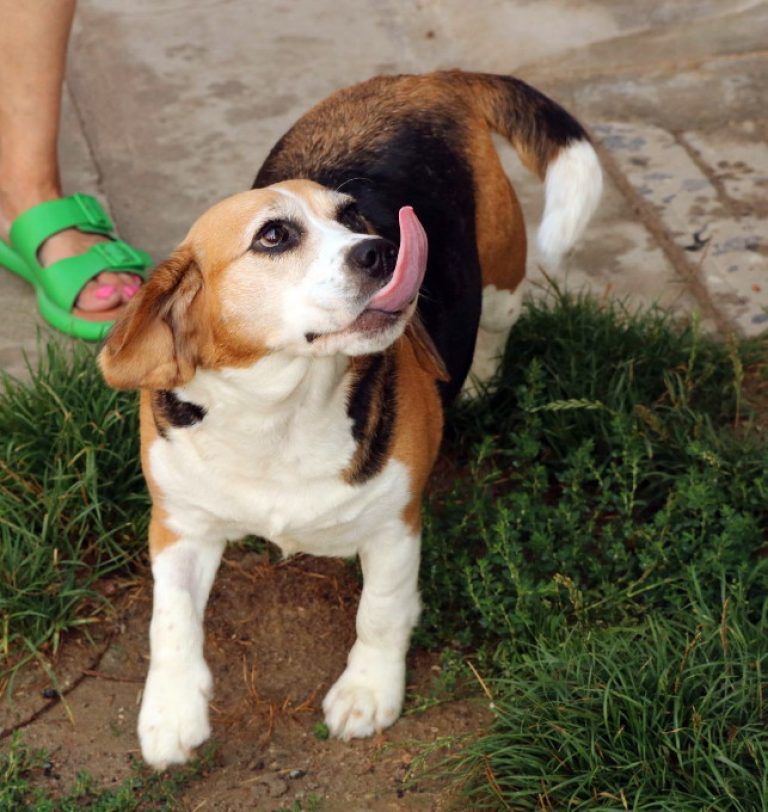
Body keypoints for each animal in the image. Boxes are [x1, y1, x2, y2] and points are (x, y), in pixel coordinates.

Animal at [99, 70, 604, 768]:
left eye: (352, 219)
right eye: (273, 236)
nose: (385, 249)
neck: (282, 414)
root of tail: (428, 80)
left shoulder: (394, 525)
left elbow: (381, 612)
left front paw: (368, 692)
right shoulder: (180, 524)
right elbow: (169, 619)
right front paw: (171, 713)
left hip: (502, 268)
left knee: (500, 321)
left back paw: (476, 382)